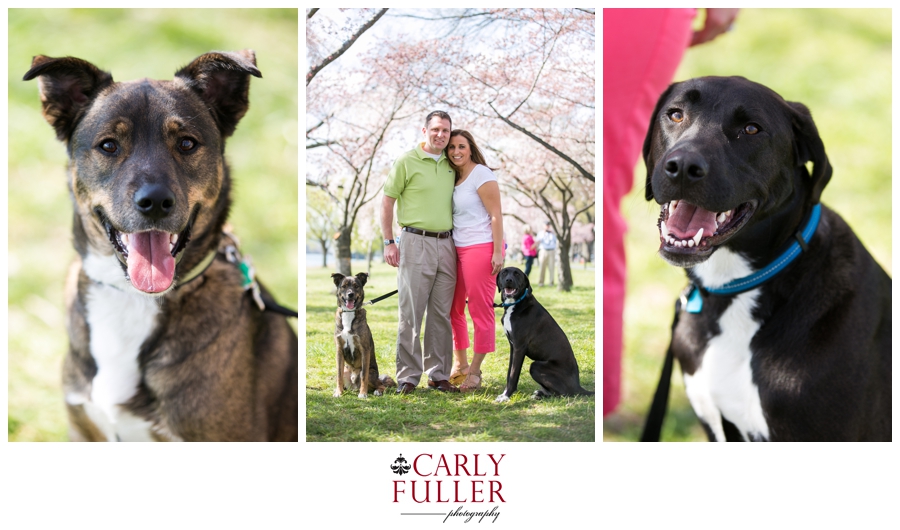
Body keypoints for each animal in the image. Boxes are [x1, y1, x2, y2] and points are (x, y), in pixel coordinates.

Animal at [492, 266, 592, 402]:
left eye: (517, 274)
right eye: (504, 273)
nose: (509, 280)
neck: (516, 303)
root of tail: (578, 386)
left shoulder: (519, 347)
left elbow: (513, 375)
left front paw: (506, 396)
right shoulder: (513, 347)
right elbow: (509, 373)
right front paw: (505, 394)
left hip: (536, 366)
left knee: (564, 394)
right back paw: (540, 393)